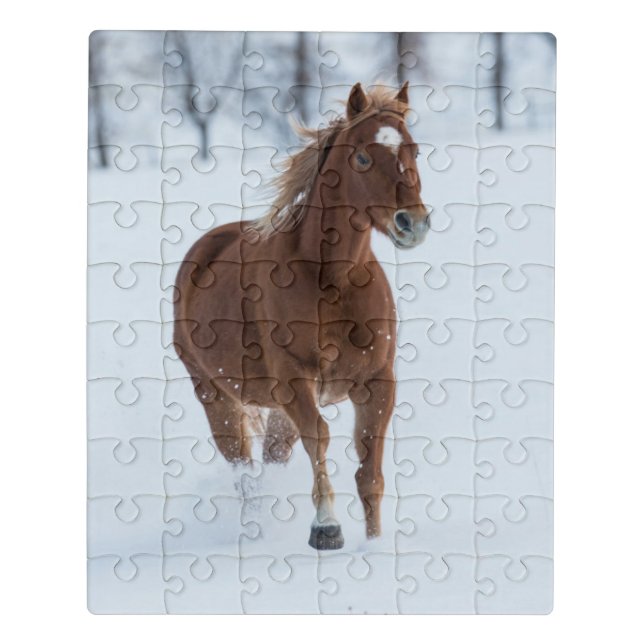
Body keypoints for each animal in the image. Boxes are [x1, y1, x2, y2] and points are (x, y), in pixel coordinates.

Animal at [173, 81, 430, 550]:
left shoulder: (377, 382)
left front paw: (374, 542)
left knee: (272, 457)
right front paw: (326, 528)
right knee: (243, 468)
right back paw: (253, 532)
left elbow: (369, 470)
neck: (332, 282)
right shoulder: (295, 381)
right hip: (216, 397)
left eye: (414, 150)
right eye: (362, 157)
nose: (413, 223)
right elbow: (321, 439)